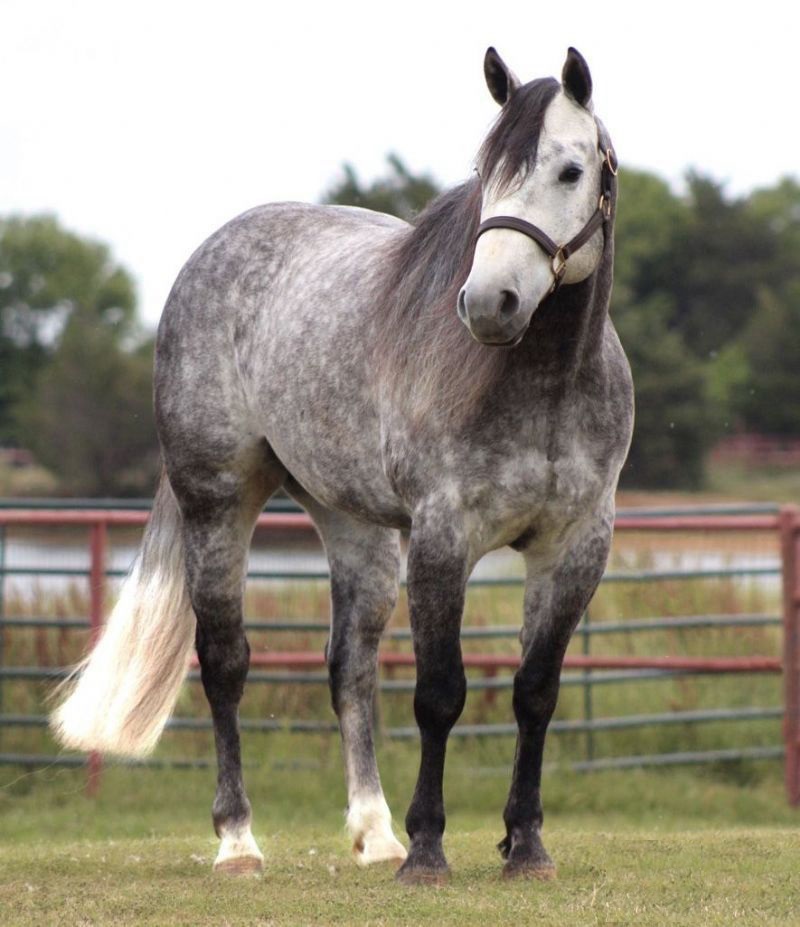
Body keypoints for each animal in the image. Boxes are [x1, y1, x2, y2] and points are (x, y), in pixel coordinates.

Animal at [52, 46, 633, 884]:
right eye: (485, 170)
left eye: (570, 169)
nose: (489, 302)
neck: (545, 382)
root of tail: (210, 255)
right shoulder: (442, 538)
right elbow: (439, 693)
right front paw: (427, 850)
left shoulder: (576, 545)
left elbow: (535, 691)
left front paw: (524, 844)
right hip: (217, 504)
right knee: (225, 662)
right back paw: (239, 842)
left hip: (355, 527)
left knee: (348, 666)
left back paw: (373, 831)